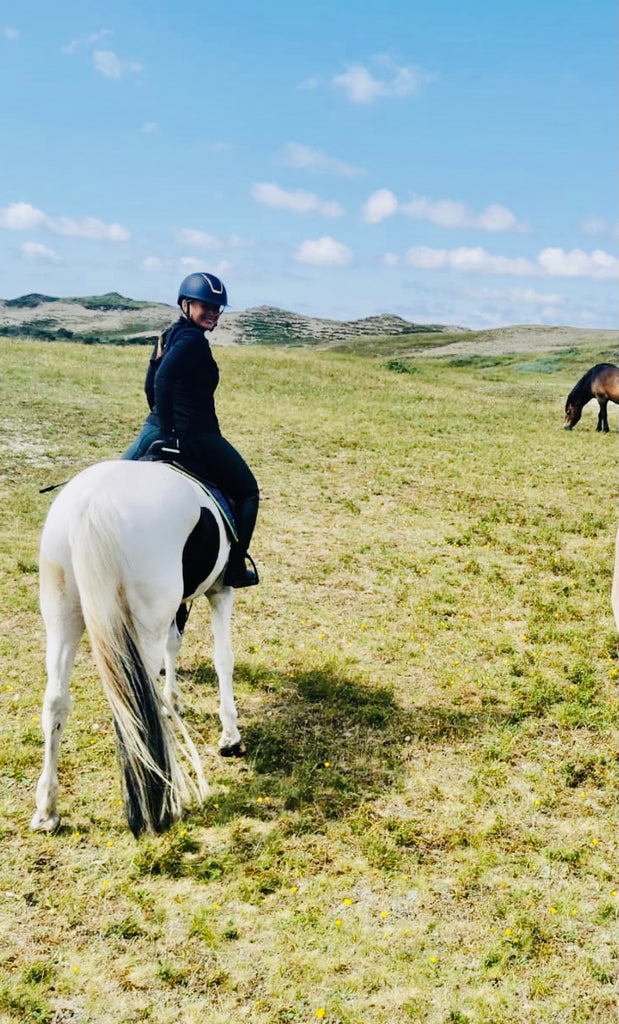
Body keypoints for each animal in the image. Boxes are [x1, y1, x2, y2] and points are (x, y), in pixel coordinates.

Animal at [31, 460, 242, 835]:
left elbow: (175, 644)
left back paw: (47, 810)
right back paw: (155, 807)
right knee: (136, 704)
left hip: (61, 615)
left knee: (55, 702)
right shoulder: (220, 591)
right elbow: (223, 660)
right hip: (142, 624)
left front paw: (174, 701)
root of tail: (92, 502)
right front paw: (230, 735)